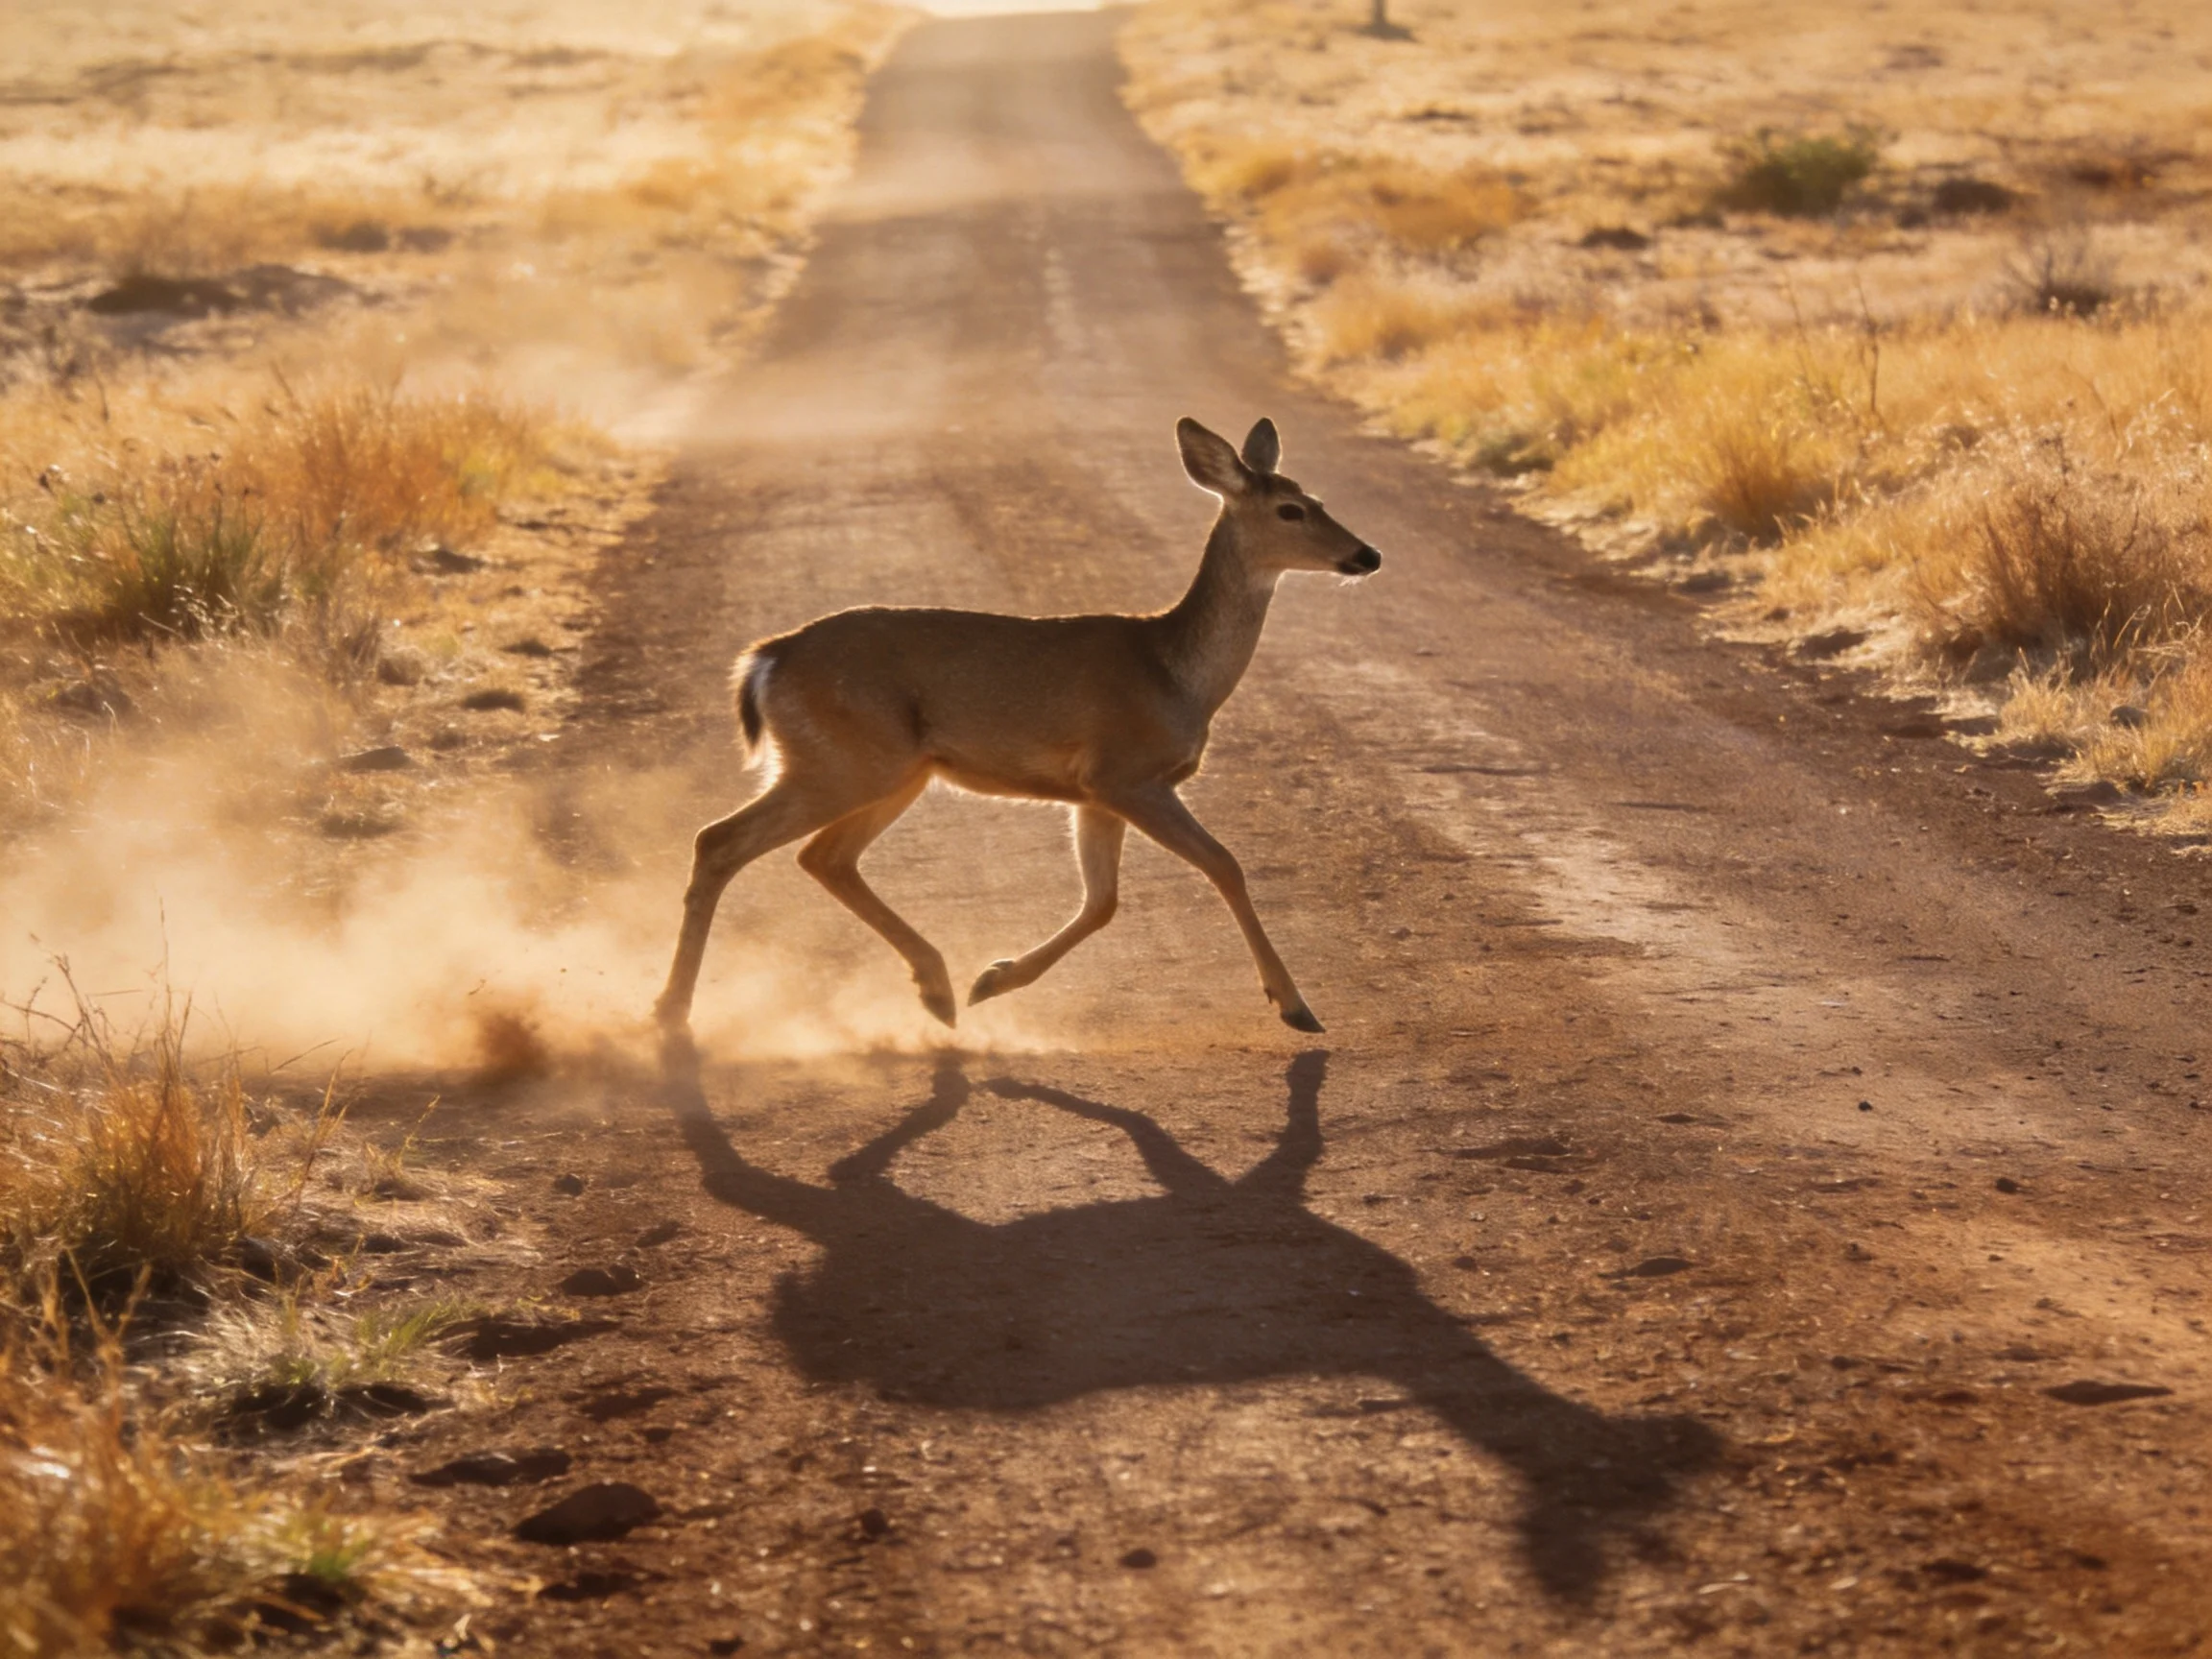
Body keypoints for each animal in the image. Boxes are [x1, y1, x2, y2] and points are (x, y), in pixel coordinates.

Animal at [653, 415, 1382, 1038]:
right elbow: (1224, 865)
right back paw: (671, 1010)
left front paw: (995, 978)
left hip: (889, 770)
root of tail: (766, 659)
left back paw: (939, 989)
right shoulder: (1126, 773)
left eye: (1316, 497)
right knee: (722, 840)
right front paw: (1295, 1004)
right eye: (1291, 510)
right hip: (845, 761)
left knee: (823, 856)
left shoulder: (1093, 794)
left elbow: (1102, 901)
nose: (1367, 554)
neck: (1176, 675)